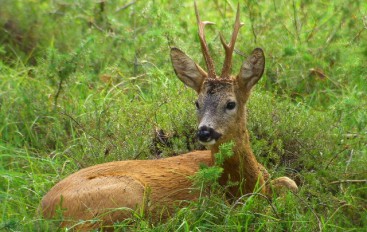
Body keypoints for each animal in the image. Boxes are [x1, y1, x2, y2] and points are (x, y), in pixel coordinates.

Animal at [41, 3, 298, 230]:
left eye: (230, 103)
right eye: (197, 102)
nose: (204, 131)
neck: (245, 184)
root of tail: (43, 209)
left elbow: (290, 182)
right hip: (129, 194)